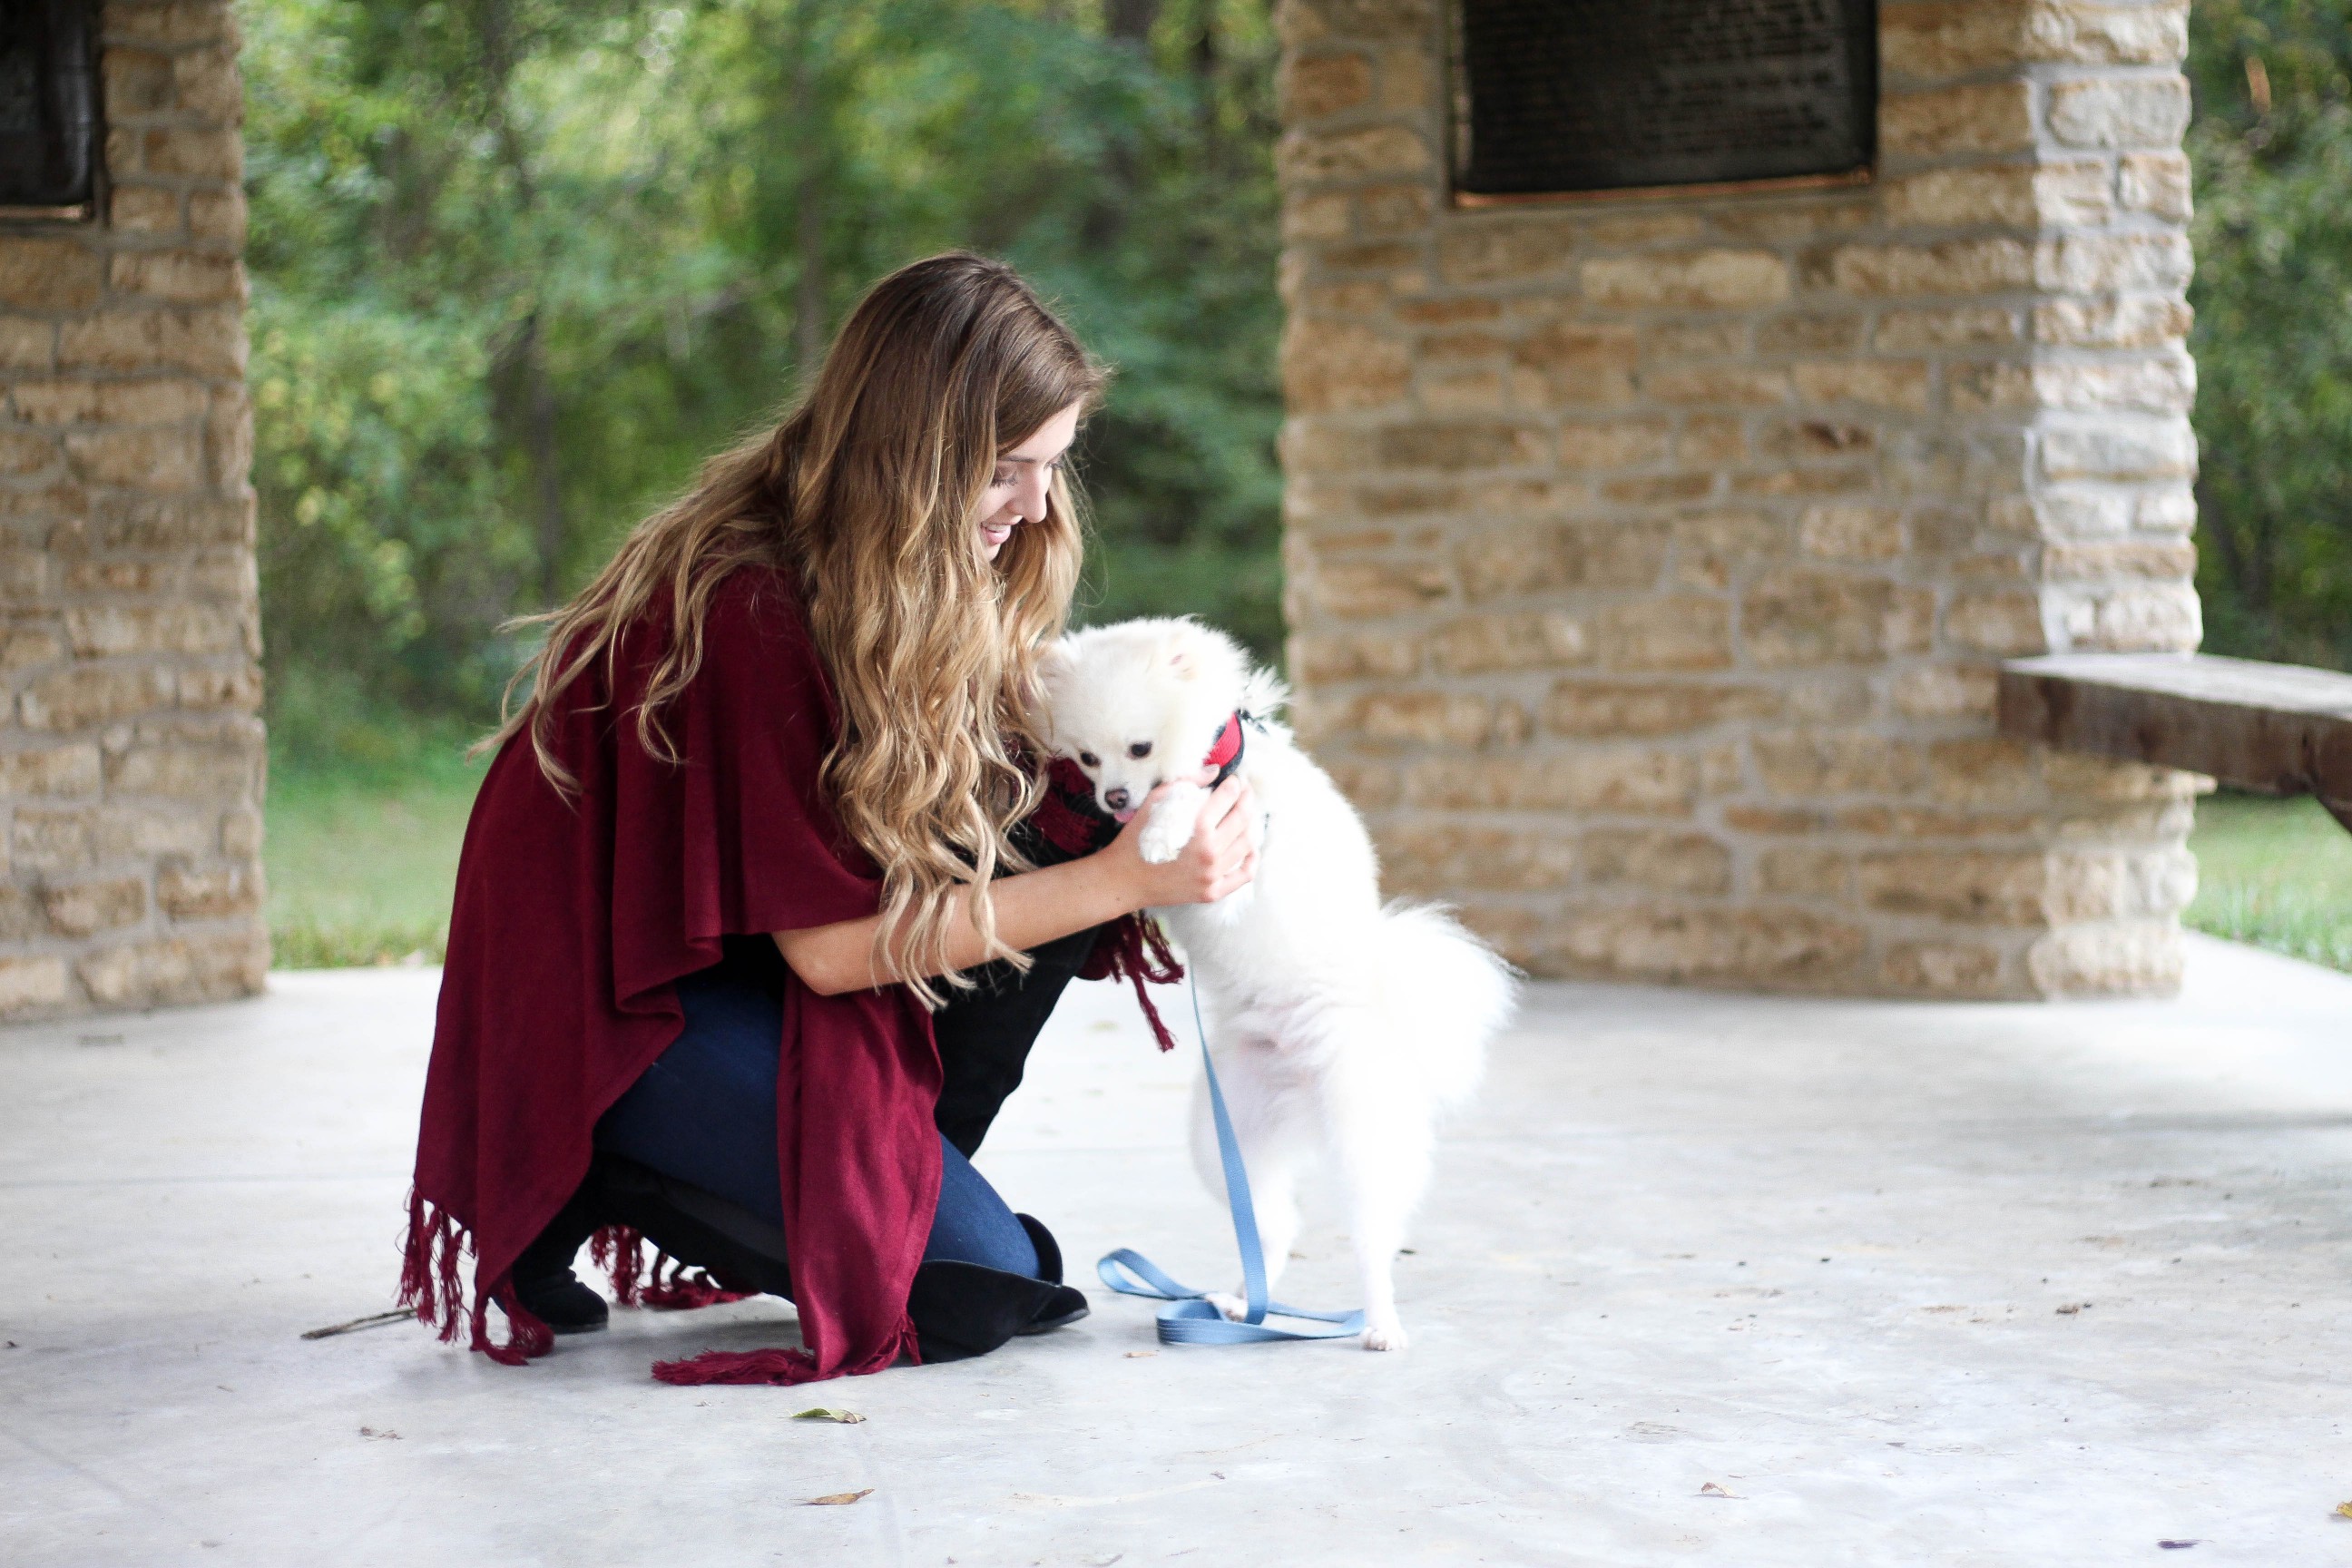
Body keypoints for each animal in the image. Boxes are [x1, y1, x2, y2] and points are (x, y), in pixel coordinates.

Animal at [1039, 611, 1514, 1354]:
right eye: (1088, 758)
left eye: (1139, 748)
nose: (1114, 798)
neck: (1216, 761)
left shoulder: (1239, 847)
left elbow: (1183, 800)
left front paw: (1158, 832)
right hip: (1224, 1135)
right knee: (1273, 1223)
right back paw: (1241, 1303)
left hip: (1360, 1135)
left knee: (1373, 1242)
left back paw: (1380, 1324)